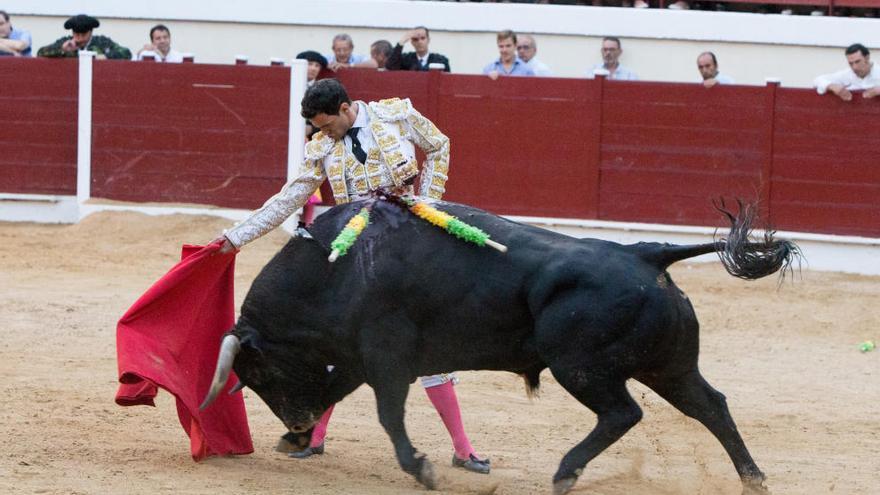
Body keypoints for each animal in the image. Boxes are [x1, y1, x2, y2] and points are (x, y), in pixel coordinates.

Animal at [203, 199, 800, 495]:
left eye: (260, 373)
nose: (296, 421)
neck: (334, 268)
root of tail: (647, 253)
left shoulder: (385, 358)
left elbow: (389, 416)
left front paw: (421, 470)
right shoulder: (357, 358)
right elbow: (348, 396)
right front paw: (295, 440)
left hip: (580, 366)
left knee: (622, 413)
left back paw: (565, 473)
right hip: (667, 366)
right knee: (710, 405)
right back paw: (753, 479)